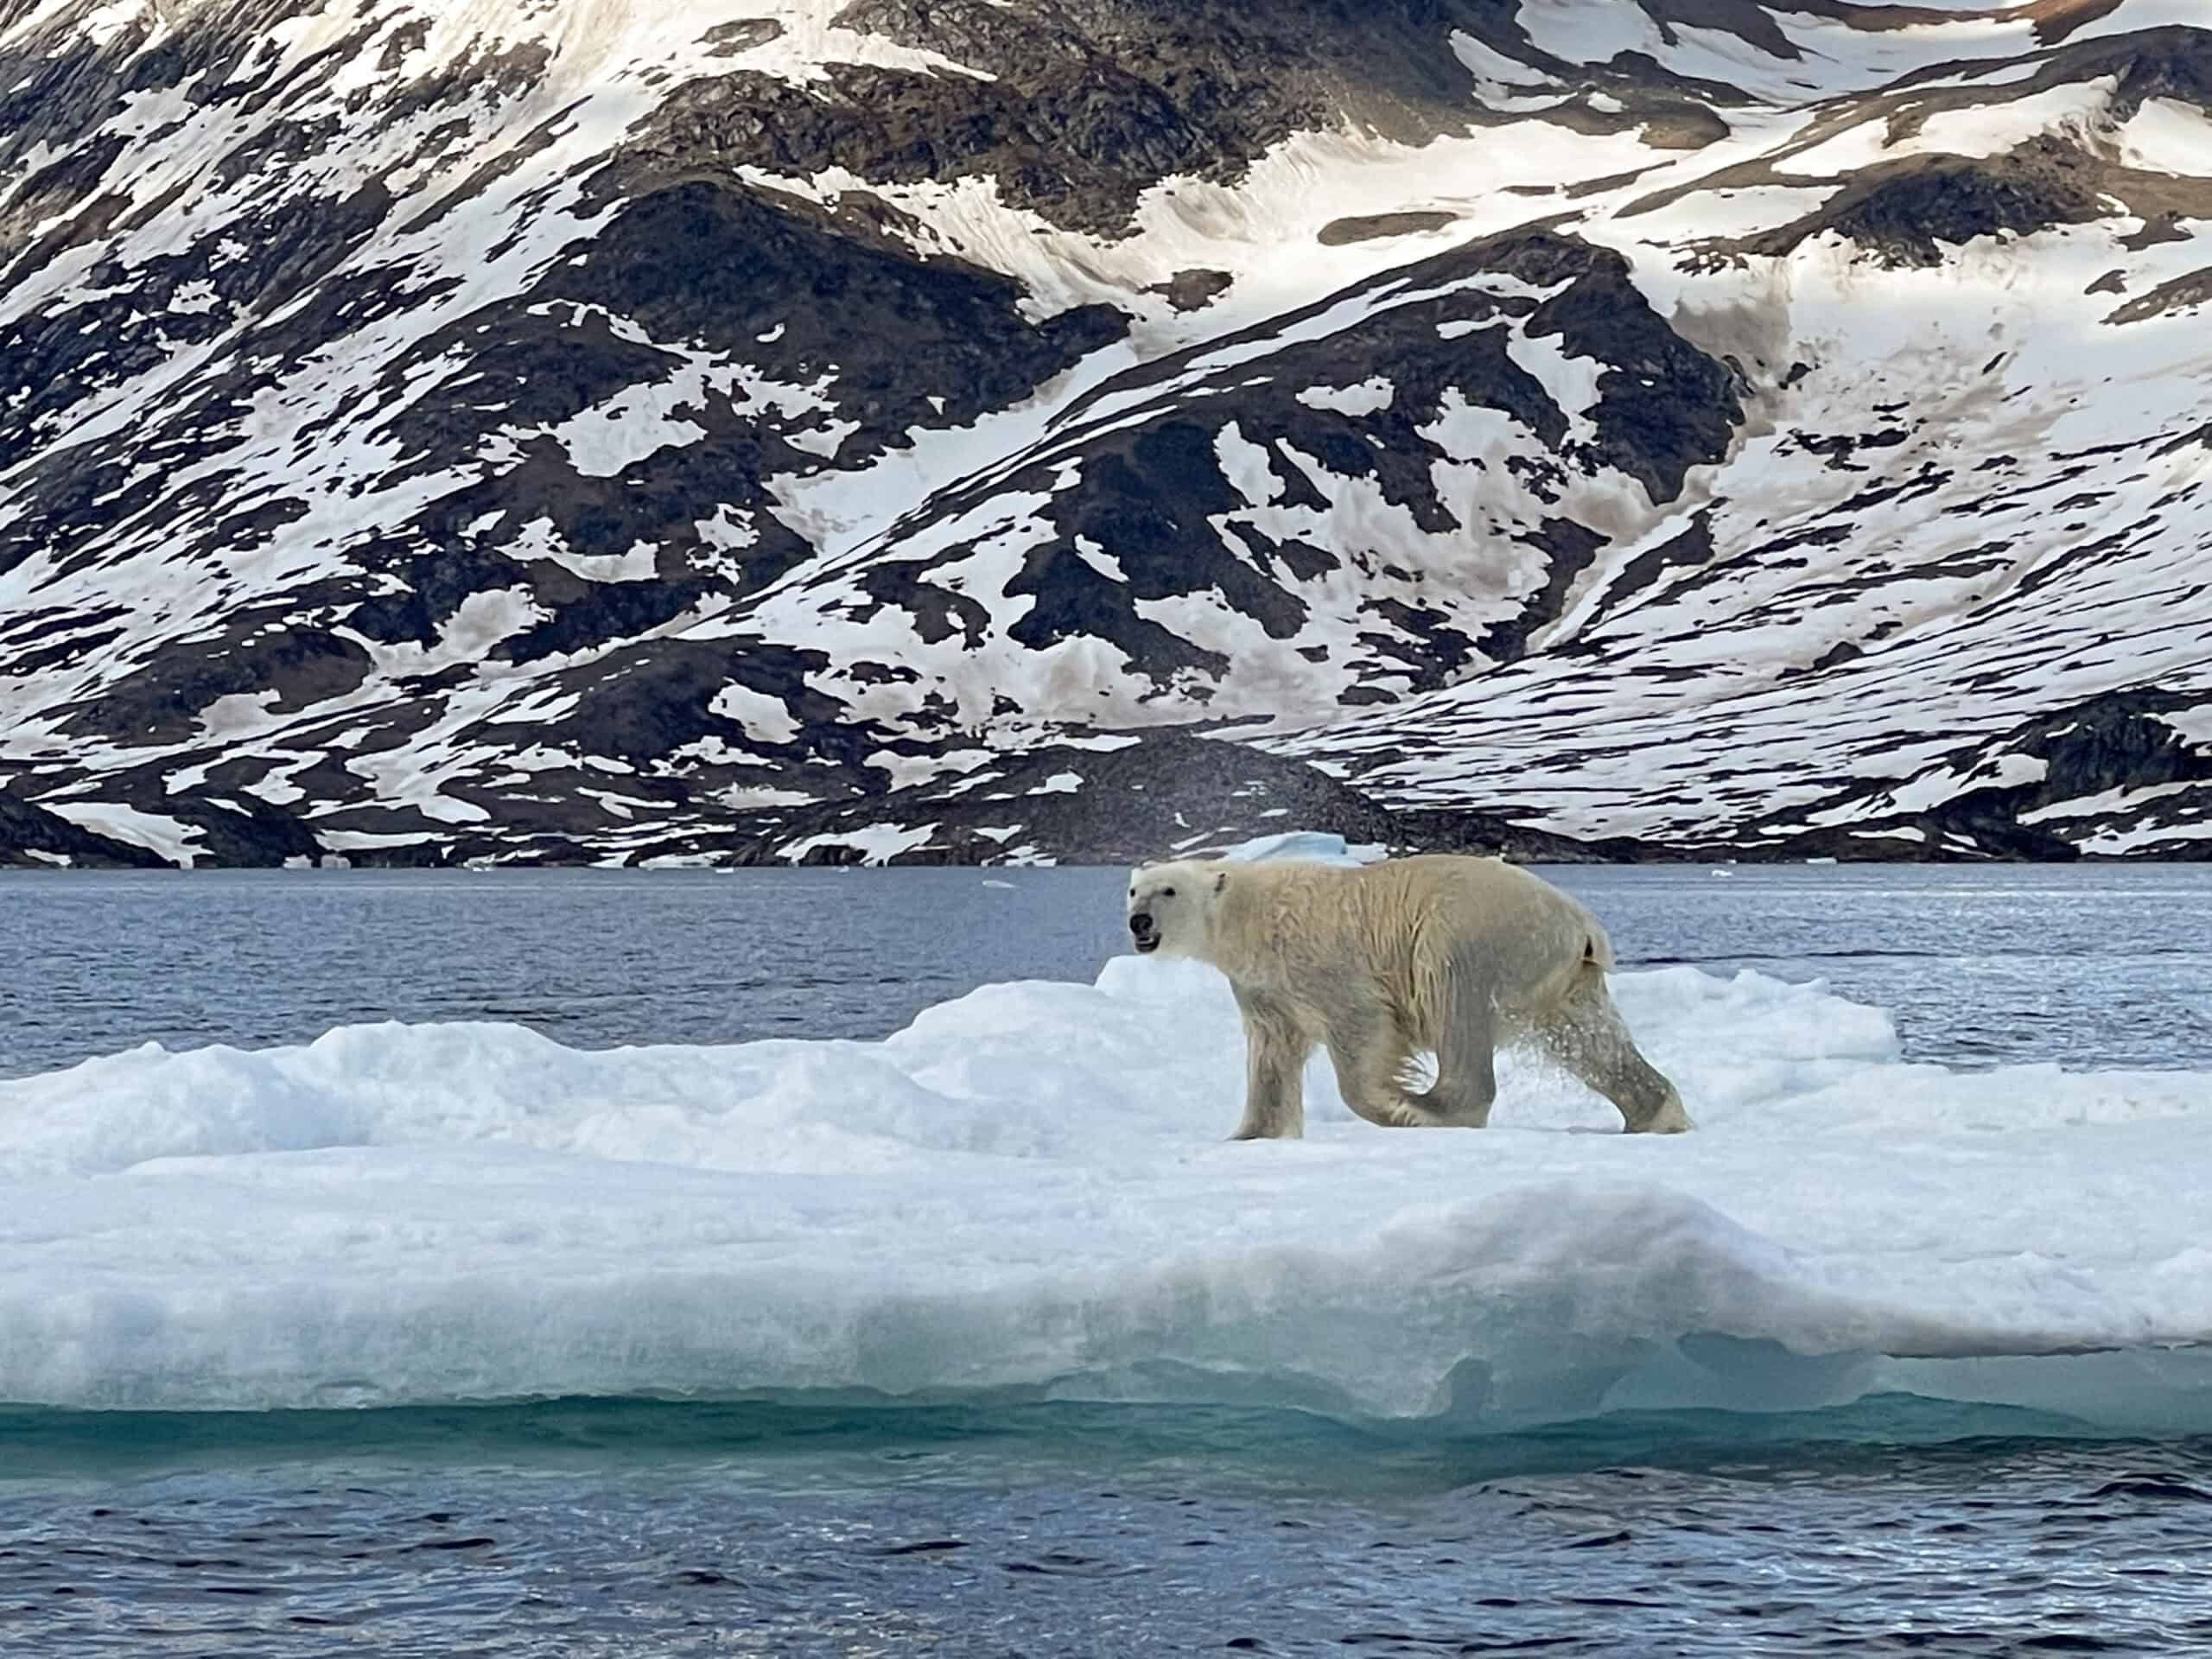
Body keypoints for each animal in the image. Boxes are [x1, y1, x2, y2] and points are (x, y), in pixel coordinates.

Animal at [1124, 852, 1690, 1139]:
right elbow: (1272, 1054)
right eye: (1134, 890)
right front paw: (1250, 1135)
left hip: (1469, 932)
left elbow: (1361, 1026)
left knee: (1453, 1003)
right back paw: (1655, 1115)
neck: (1250, 910)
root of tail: (1580, 921)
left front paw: (1391, 1100)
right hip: (1561, 977)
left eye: (1169, 890)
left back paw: (1429, 1108)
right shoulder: (1262, 986)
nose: (1139, 922)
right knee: (1589, 1040)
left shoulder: (1321, 960)